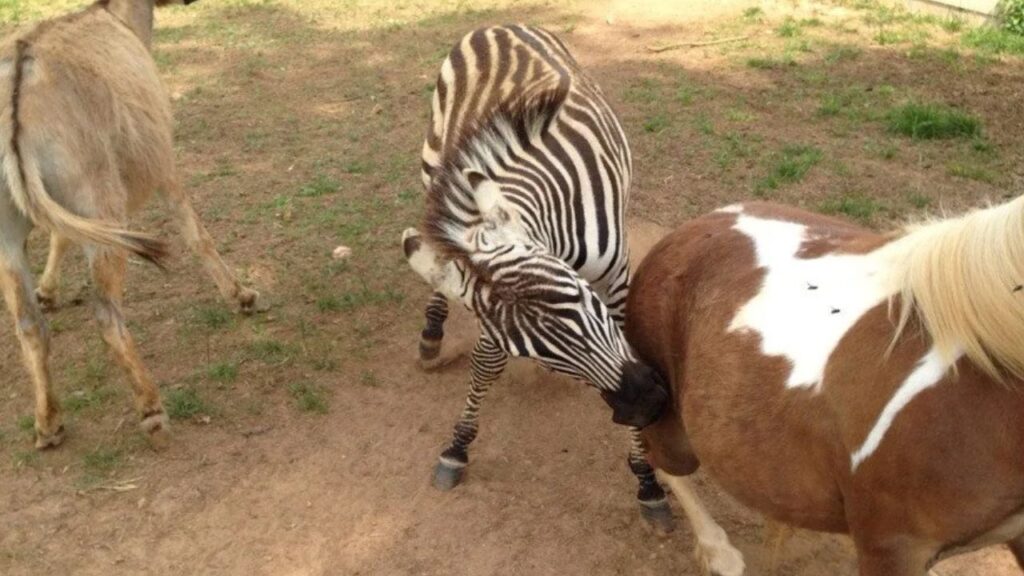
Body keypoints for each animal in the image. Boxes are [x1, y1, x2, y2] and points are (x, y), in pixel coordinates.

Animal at [401, 24, 672, 530]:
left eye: (583, 299)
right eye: (537, 352)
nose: (644, 404)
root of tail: (500, 24)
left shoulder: (615, 281)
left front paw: (647, 478)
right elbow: (485, 365)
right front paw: (458, 447)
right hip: (435, 163)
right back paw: (431, 334)